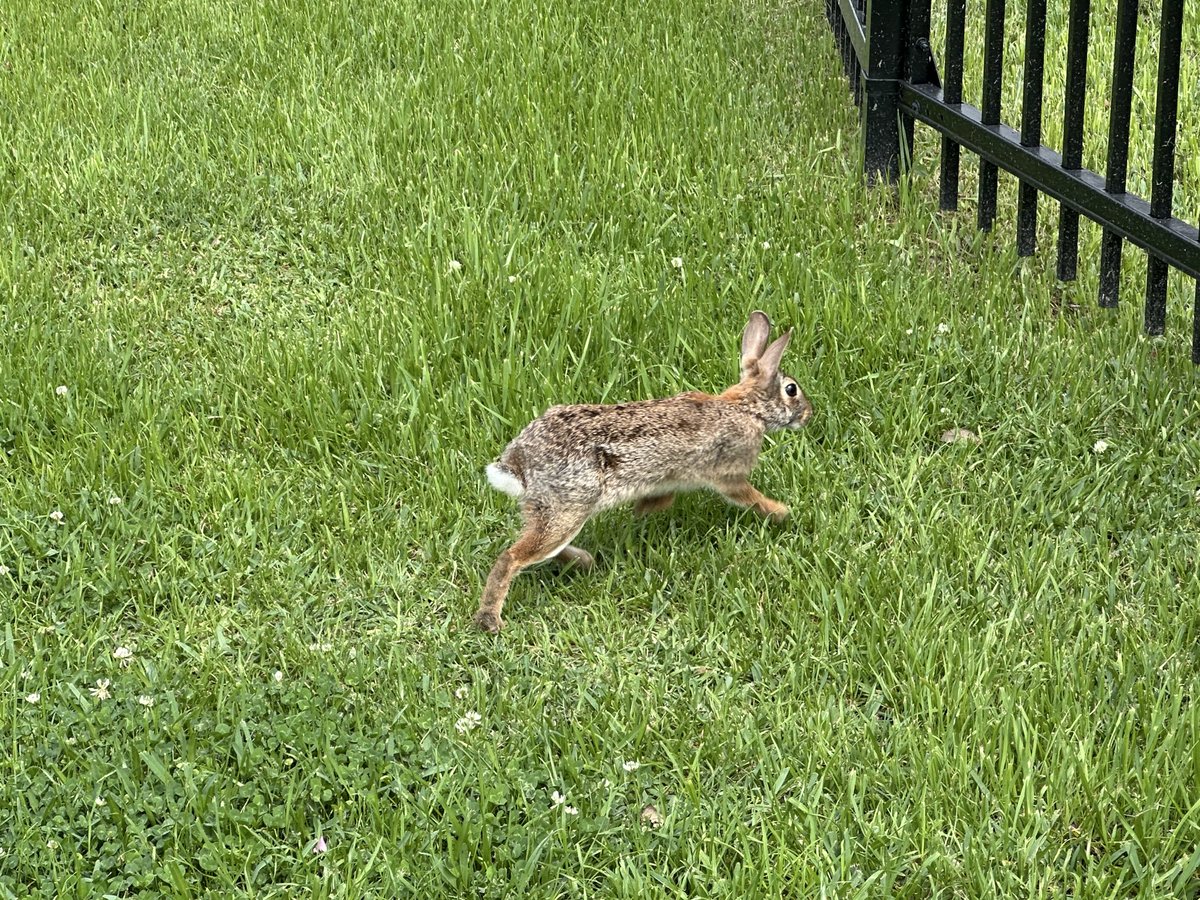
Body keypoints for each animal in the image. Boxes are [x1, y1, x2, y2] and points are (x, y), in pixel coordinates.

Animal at [473, 310, 813, 633]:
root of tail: (519, 463)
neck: (747, 408)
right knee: (513, 557)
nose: (809, 414)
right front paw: (782, 513)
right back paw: (491, 619)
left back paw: (585, 560)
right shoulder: (728, 473)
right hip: (568, 508)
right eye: (791, 389)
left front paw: (640, 516)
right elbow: (748, 496)